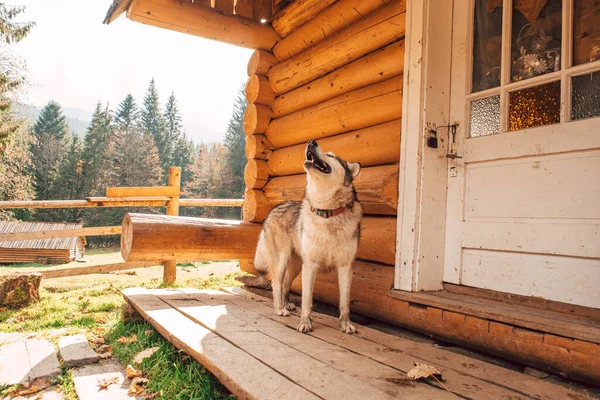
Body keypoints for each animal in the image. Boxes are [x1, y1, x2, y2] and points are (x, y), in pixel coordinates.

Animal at [251, 139, 358, 332]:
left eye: (331, 155)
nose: (311, 141)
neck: (327, 213)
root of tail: (272, 210)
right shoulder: (311, 266)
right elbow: (307, 300)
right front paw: (304, 323)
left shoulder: (346, 267)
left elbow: (344, 302)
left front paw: (346, 324)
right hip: (282, 262)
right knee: (276, 283)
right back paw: (280, 309)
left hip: (295, 267)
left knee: (286, 284)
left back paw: (286, 304)